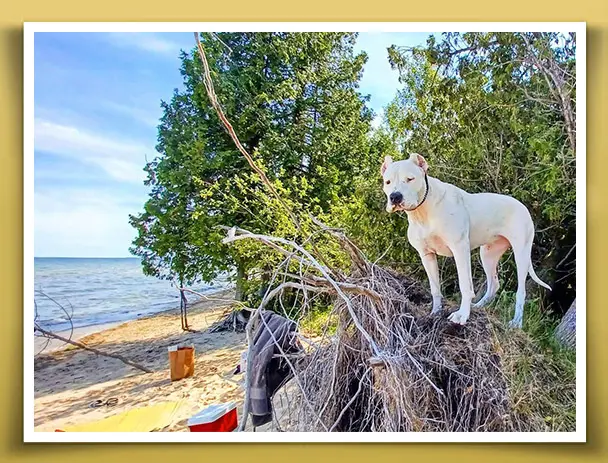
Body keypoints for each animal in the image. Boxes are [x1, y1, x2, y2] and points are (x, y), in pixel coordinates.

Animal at [382, 154, 552, 328]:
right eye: (387, 182)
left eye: (410, 179)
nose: (395, 196)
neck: (423, 213)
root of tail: (522, 205)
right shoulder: (426, 255)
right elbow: (435, 288)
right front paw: (435, 313)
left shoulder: (460, 249)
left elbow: (464, 285)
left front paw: (462, 315)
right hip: (488, 254)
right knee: (494, 284)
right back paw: (478, 306)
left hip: (521, 254)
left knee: (521, 291)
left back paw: (516, 322)